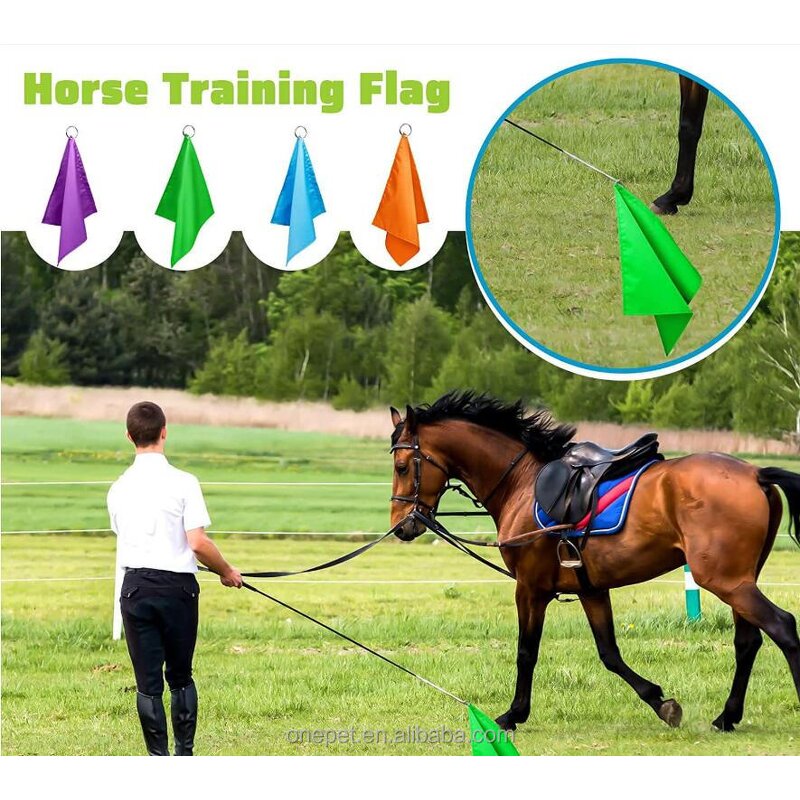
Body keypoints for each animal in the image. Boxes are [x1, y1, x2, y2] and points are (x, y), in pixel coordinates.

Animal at [388, 392, 800, 732]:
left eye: (403, 467)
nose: (401, 527)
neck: (523, 483)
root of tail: (756, 473)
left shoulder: (530, 589)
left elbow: (526, 652)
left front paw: (513, 714)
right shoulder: (592, 590)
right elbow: (610, 654)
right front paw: (660, 702)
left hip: (725, 581)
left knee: (782, 627)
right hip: (738, 581)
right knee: (748, 641)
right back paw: (727, 717)